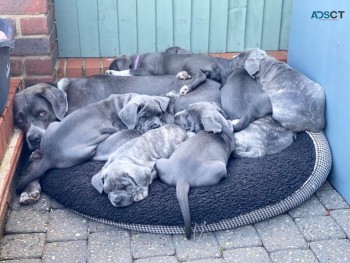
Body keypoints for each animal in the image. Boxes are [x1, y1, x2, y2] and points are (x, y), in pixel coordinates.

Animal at [17, 94, 170, 205]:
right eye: (143, 117)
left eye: (159, 114)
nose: (156, 126)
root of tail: (49, 154)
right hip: (90, 149)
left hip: (52, 125)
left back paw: (35, 154)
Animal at [157, 101, 235, 239]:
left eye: (187, 116)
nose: (175, 116)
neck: (222, 127)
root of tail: (182, 179)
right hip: (220, 166)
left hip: (160, 162)